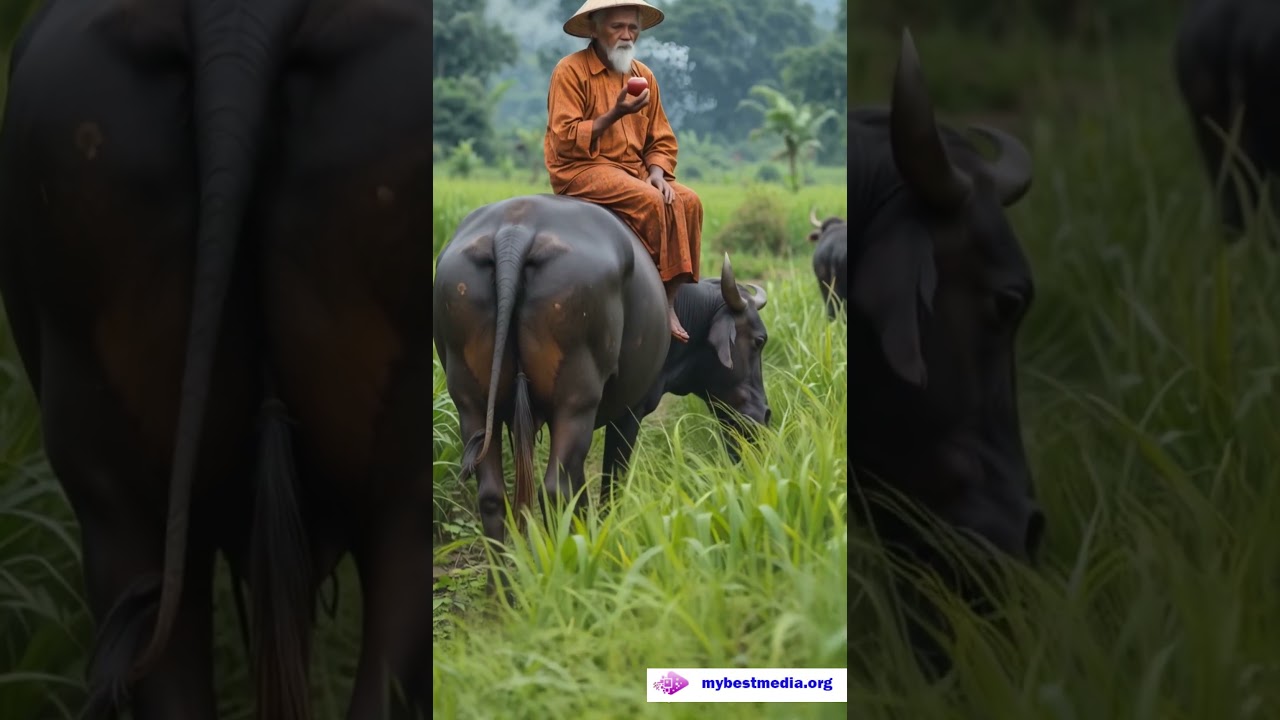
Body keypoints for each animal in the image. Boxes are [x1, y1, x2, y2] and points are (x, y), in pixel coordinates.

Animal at [434, 194, 772, 559]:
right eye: (759, 340)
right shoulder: (630, 412)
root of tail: (515, 232)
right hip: (575, 404)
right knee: (556, 490)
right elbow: (612, 483)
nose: (764, 413)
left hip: (472, 403)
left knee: (494, 495)